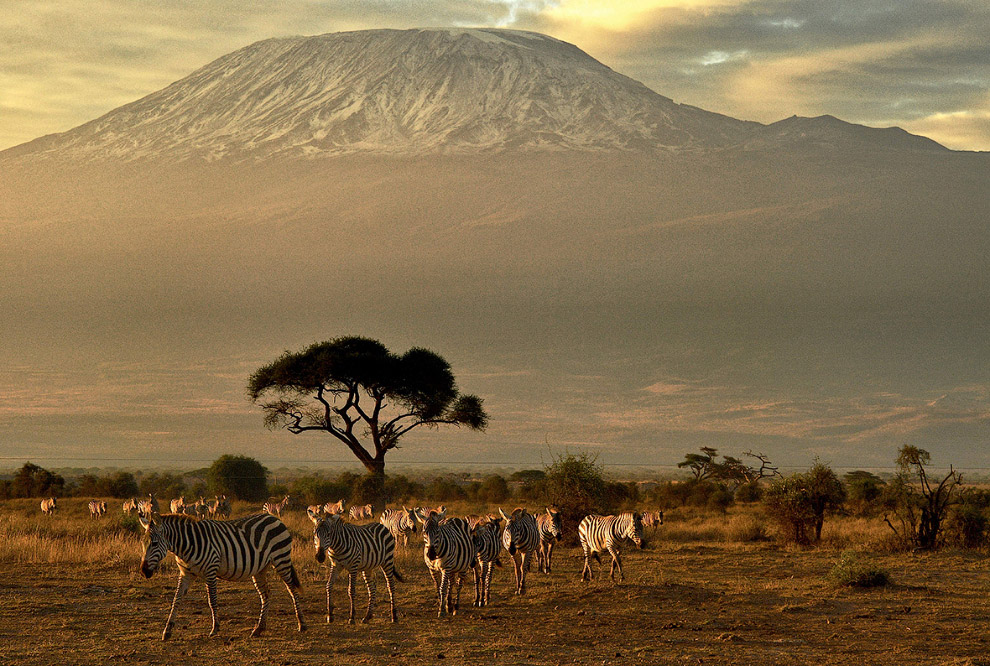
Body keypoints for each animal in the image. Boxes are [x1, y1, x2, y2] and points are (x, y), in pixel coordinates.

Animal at [138, 508, 304, 640]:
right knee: (266, 594)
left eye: (154, 544)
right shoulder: (186, 574)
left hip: (281, 559)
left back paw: (301, 624)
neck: (186, 546)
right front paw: (167, 630)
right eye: (142, 543)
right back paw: (259, 628)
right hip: (260, 569)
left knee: (292, 589)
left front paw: (215, 628)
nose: (143, 572)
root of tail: (274, 517)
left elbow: (212, 600)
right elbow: (176, 599)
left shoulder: (210, 571)